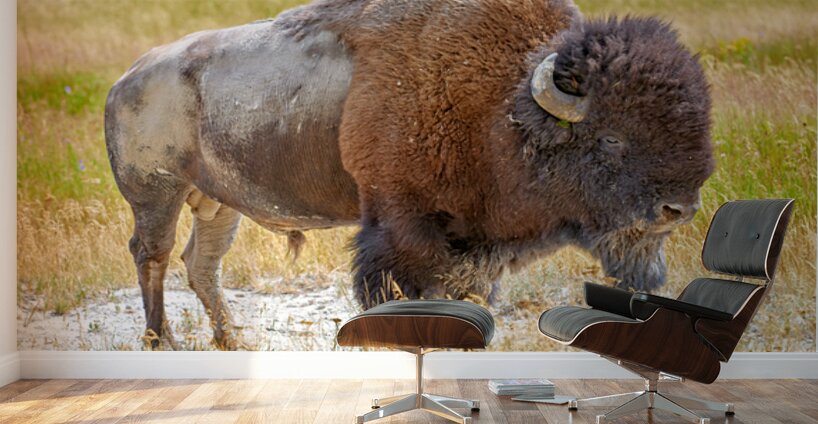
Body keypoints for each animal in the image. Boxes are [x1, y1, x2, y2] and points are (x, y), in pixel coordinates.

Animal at [105, 0, 713, 349]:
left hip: (218, 204)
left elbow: (468, 292)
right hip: (156, 193)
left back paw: (233, 341)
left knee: (200, 264)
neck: (505, 105)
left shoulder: (473, 241)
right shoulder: (400, 221)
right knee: (153, 255)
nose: (677, 209)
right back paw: (162, 342)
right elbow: (402, 287)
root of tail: (127, 78)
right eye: (612, 138)